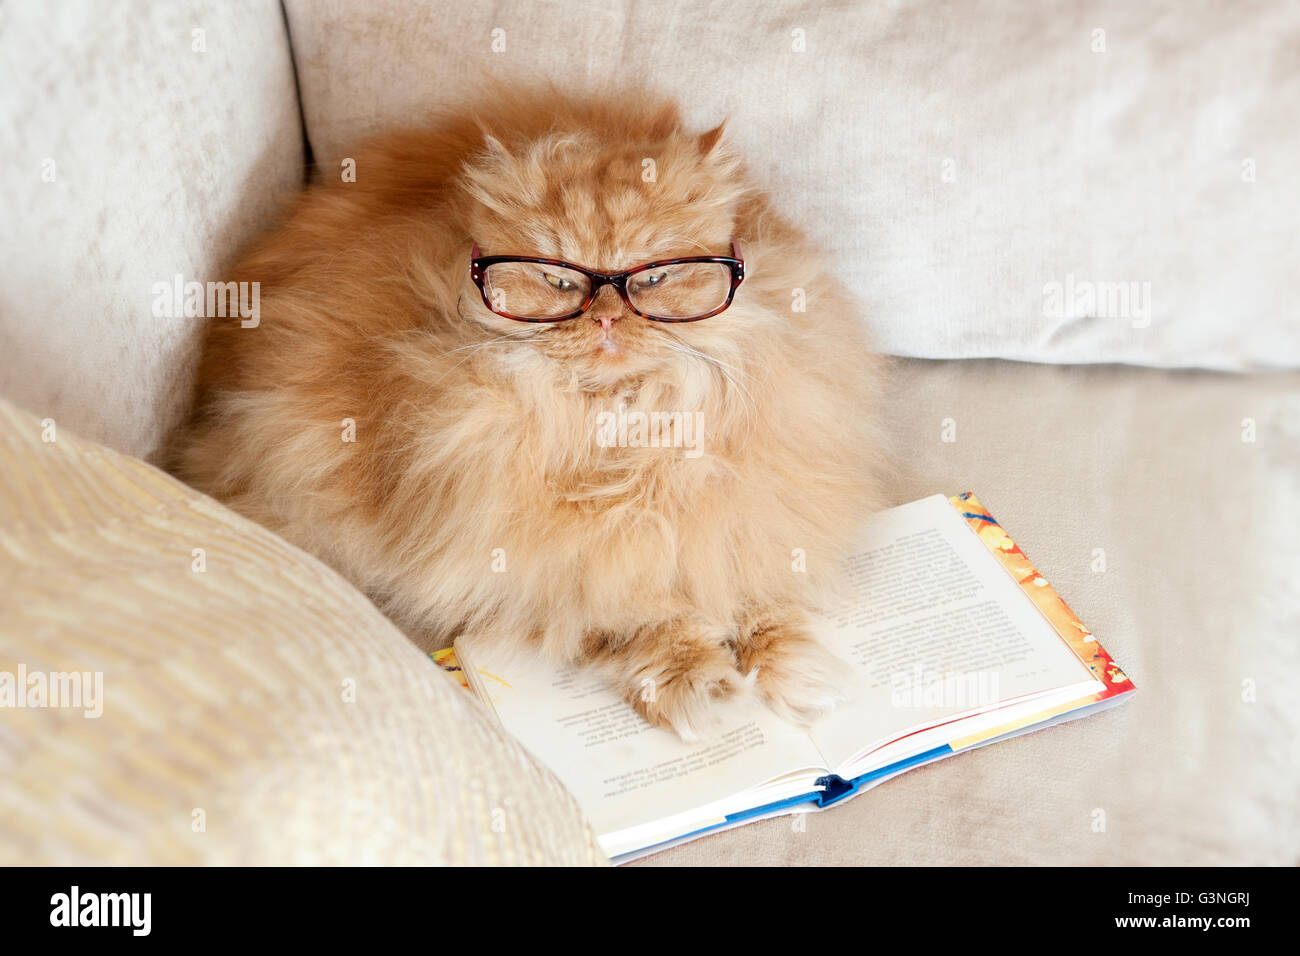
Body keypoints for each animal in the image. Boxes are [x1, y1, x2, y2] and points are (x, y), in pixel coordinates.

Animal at [175, 91, 883, 738]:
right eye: (559, 281)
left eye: (653, 280)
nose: (607, 319)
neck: (619, 432)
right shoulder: (552, 566)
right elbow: (642, 618)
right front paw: (699, 686)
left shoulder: (744, 514)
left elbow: (759, 589)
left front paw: (794, 672)